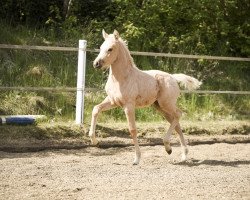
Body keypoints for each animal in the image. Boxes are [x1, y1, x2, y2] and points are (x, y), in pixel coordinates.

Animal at [90, 29, 201, 164]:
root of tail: (173, 77)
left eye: (110, 49)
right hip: (160, 107)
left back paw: (169, 146)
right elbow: (96, 109)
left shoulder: (129, 105)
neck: (121, 78)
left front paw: (137, 158)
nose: (96, 64)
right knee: (177, 124)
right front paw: (95, 141)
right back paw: (179, 153)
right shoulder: (113, 101)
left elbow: (132, 129)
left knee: (179, 115)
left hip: (166, 104)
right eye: (101, 48)